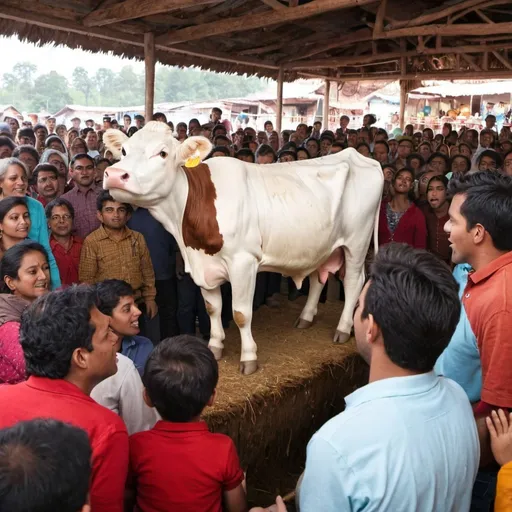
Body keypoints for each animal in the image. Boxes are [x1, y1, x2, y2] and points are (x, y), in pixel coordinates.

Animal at [104, 121, 382, 374]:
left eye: (162, 153)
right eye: (124, 151)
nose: (115, 174)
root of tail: (357, 155)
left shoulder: (243, 262)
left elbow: (240, 313)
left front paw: (248, 357)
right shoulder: (204, 264)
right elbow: (213, 308)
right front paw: (215, 346)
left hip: (357, 242)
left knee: (354, 282)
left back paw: (343, 328)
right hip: (320, 245)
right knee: (317, 279)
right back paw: (305, 317)